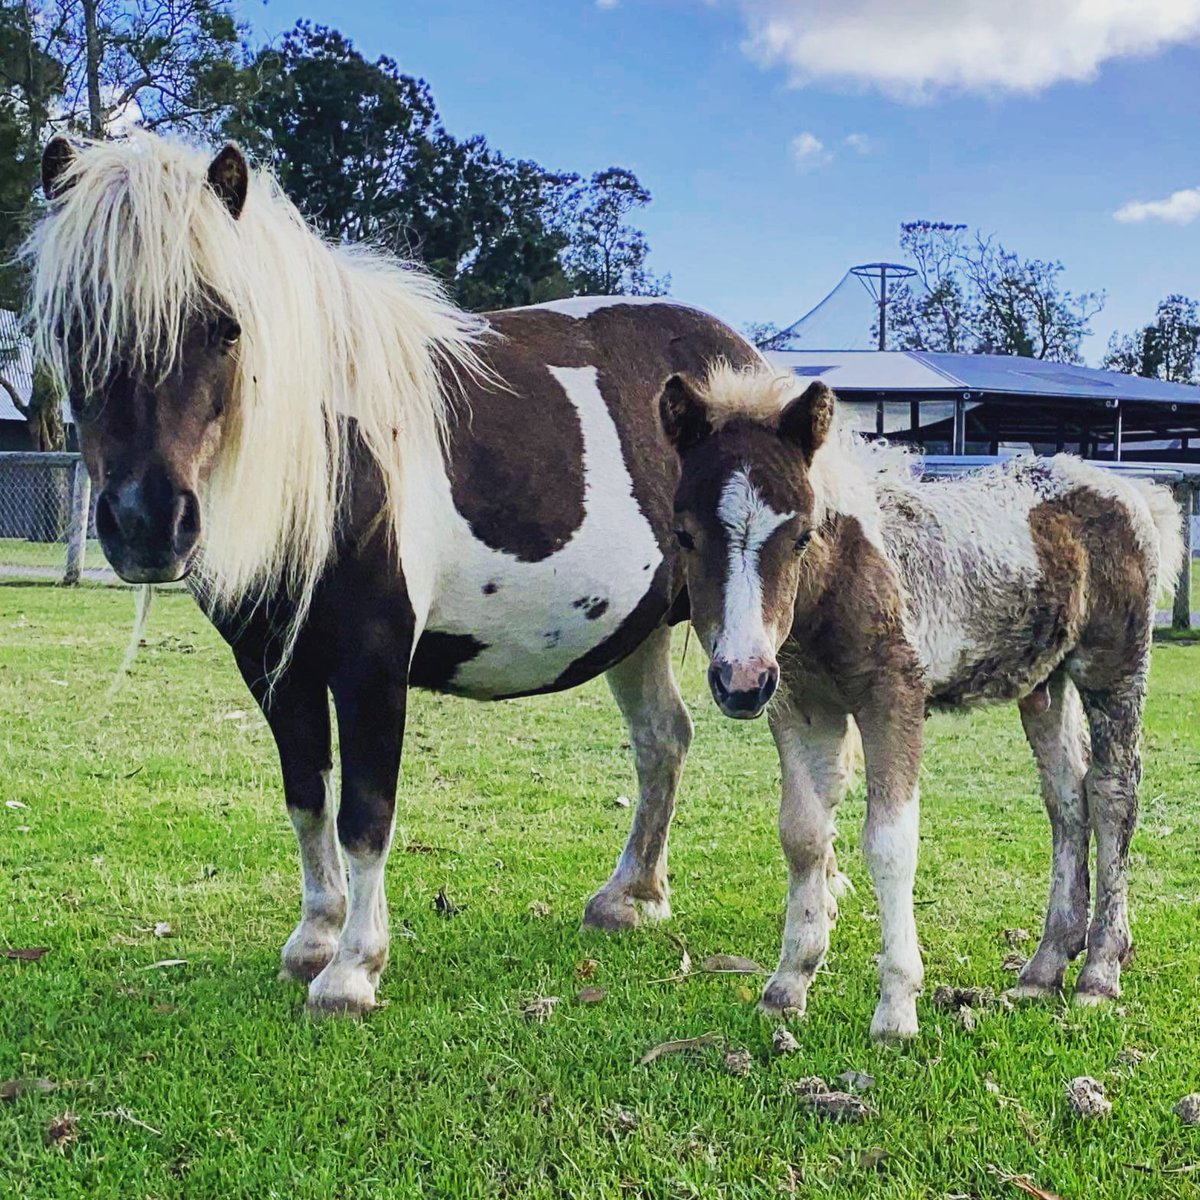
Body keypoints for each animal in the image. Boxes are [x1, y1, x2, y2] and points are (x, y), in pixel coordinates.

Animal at [23, 132, 762, 1015]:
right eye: (73, 324)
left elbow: (365, 813)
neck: (327, 454)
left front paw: (352, 969)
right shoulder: (272, 665)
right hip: (635, 631)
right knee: (662, 742)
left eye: (224, 326)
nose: (146, 523)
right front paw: (313, 940)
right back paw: (631, 897)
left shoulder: (372, 660)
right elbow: (307, 798)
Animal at [659, 363, 1184, 1040]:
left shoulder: (893, 698)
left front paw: (896, 1007)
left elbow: (889, 840)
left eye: (801, 535)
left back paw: (1099, 973)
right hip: (1044, 686)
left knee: (1115, 795)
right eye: (685, 535)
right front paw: (787, 984)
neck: (840, 580)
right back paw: (1042, 970)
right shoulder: (801, 704)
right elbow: (803, 834)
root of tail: (1134, 493)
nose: (741, 679)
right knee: (1068, 800)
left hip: (1112, 665)